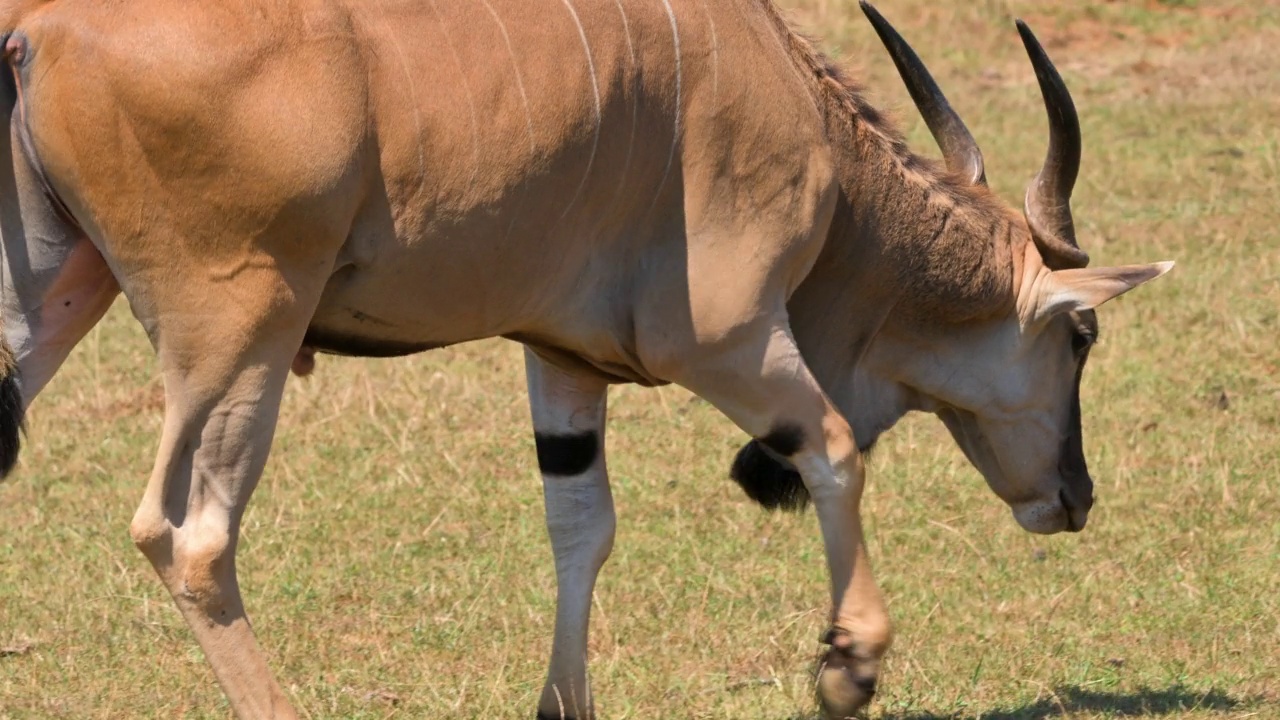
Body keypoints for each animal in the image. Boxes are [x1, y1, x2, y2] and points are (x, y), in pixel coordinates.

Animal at [0, 0, 1172, 712]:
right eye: (1080, 335)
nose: (1073, 496)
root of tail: (42, 30)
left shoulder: (558, 359)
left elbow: (580, 525)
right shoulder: (729, 340)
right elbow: (835, 448)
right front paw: (850, 664)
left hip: (59, 306)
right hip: (239, 331)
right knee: (187, 534)